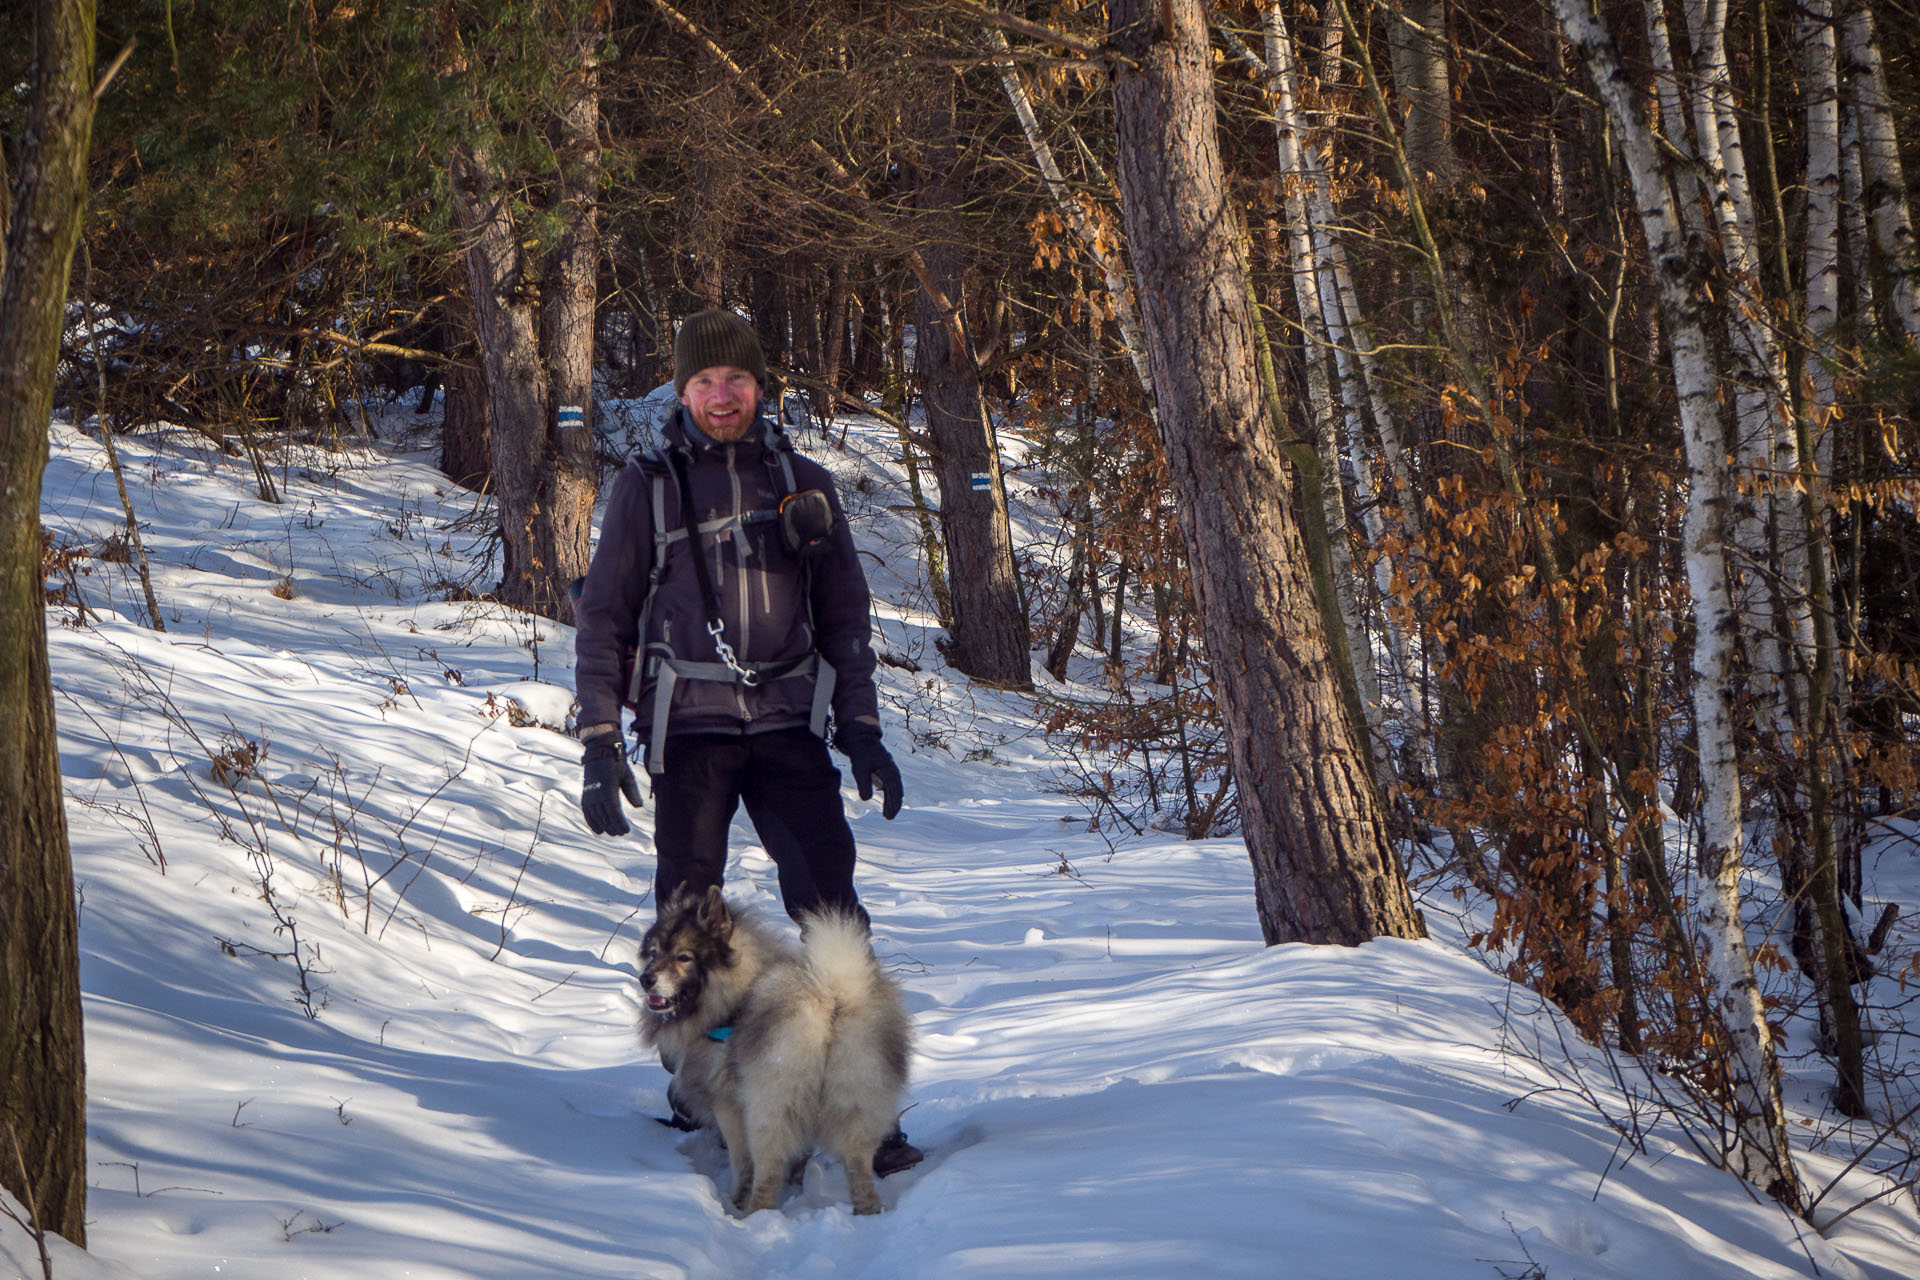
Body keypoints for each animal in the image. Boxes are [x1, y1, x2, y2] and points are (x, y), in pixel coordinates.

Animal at [637, 886, 913, 1220]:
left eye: (684, 957)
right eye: (653, 953)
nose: (645, 979)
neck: (733, 997)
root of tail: (831, 996)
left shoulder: (730, 1104)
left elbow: (742, 1163)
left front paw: (737, 1199)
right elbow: (799, 1155)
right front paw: (795, 1184)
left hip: (770, 1107)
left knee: (767, 1169)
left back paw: (754, 1215)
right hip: (857, 1098)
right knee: (859, 1166)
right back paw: (866, 1213)